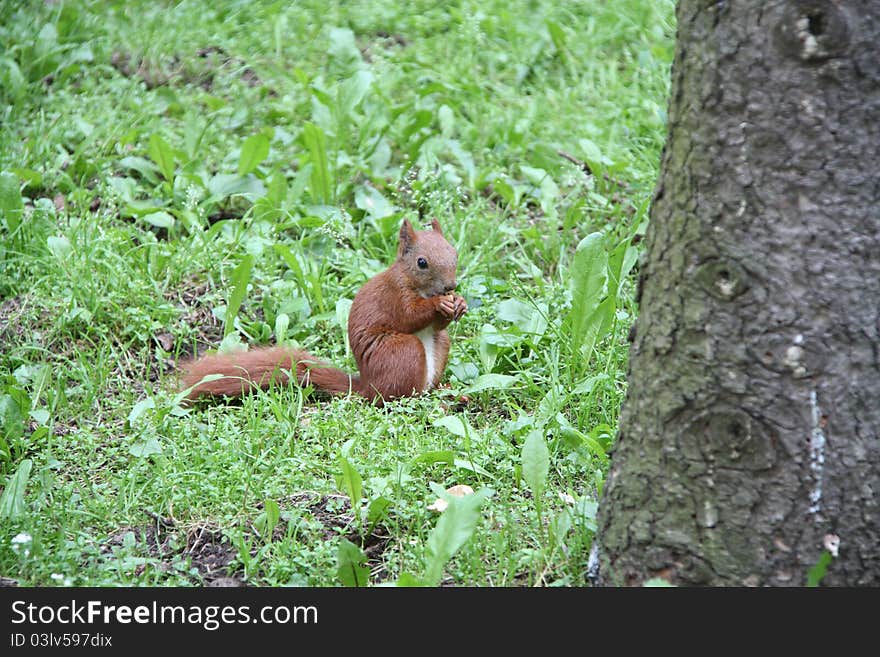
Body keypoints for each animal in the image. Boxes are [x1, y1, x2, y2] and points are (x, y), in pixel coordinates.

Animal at [180, 218, 468, 402]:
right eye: (422, 262)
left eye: (455, 254)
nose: (451, 286)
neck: (415, 284)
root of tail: (367, 386)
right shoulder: (394, 295)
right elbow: (409, 316)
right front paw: (439, 304)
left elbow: (437, 324)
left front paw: (460, 303)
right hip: (402, 352)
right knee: (392, 397)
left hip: (440, 344)